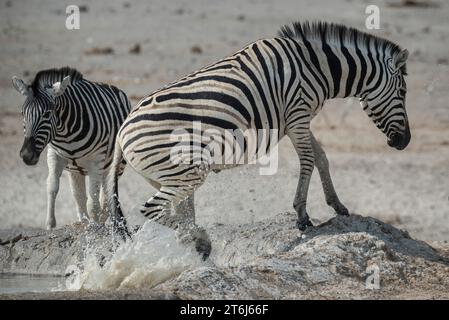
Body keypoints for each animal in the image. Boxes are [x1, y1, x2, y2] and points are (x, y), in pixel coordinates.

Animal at [12, 67, 131, 230]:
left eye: (47, 114)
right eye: (23, 113)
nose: (26, 155)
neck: (66, 133)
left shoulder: (96, 160)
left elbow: (93, 201)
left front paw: (95, 226)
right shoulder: (54, 155)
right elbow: (52, 187)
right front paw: (50, 224)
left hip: (115, 166)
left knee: (106, 195)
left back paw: (101, 220)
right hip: (75, 170)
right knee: (79, 196)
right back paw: (83, 221)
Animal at [107, 21, 410, 258]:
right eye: (403, 92)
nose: (405, 142)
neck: (314, 66)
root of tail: (121, 134)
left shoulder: (296, 120)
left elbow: (321, 157)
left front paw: (337, 204)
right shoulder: (297, 114)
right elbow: (308, 160)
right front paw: (302, 215)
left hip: (168, 176)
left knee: (177, 213)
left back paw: (196, 243)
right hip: (184, 173)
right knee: (151, 210)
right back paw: (200, 238)